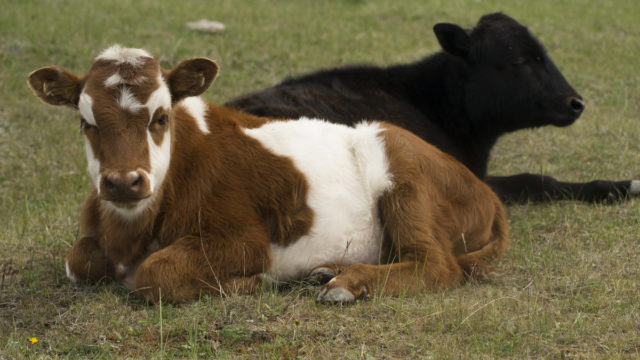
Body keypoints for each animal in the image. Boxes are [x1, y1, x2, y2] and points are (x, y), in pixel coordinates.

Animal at [27, 45, 510, 304]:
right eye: (86, 122)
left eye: (160, 117)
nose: (124, 181)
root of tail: (485, 190)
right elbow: (78, 261)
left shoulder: (243, 240)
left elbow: (156, 274)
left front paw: (253, 282)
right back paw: (329, 270)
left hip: (403, 168)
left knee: (436, 265)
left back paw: (347, 283)